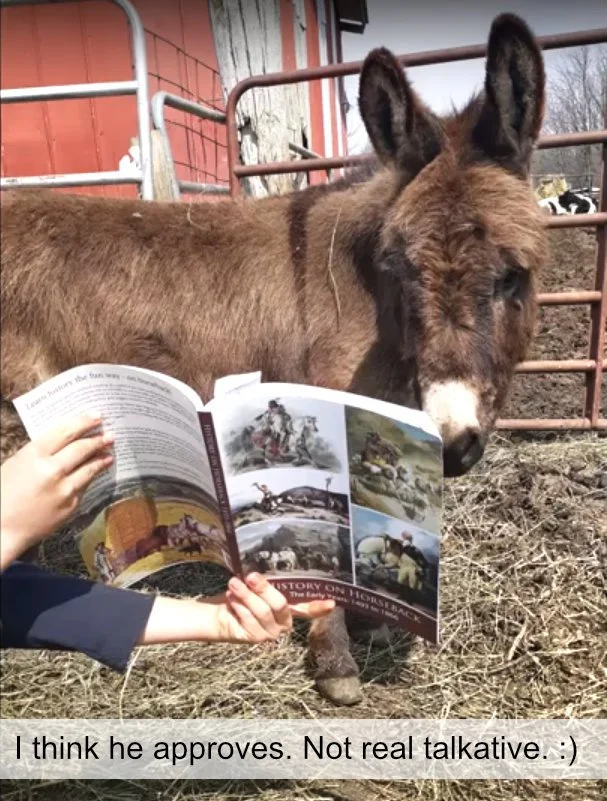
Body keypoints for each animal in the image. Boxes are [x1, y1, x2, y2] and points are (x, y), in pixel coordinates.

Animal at [0, 13, 548, 706]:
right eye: (400, 270)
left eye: (512, 277)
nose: (453, 444)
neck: (368, 298)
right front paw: (337, 664)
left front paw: (371, 619)